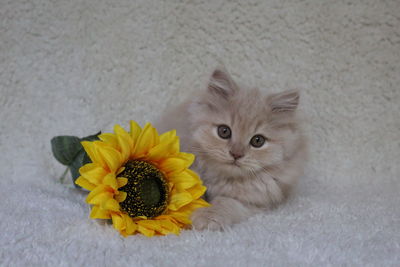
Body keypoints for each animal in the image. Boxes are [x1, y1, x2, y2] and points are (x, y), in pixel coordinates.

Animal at [155, 68, 306, 231]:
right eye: (224, 131)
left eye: (257, 141)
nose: (236, 154)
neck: (222, 178)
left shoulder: (254, 201)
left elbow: (225, 202)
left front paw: (206, 218)